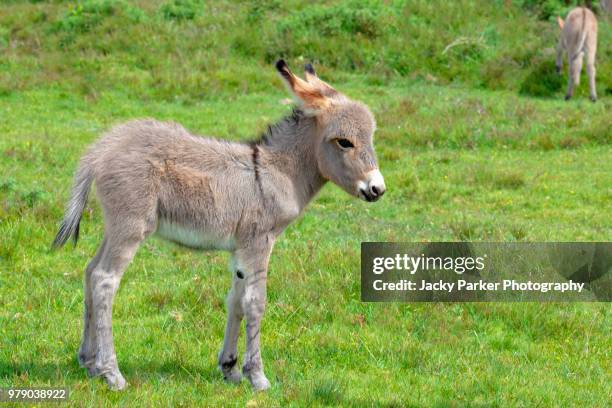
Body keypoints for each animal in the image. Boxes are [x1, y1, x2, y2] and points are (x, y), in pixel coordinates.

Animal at [55, 59, 384, 388]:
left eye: (370, 138)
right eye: (344, 142)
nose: (377, 189)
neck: (276, 171)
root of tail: (102, 149)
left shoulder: (241, 250)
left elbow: (236, 300)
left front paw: (230, 368)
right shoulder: (259, 242)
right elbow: (255, 302)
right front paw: (258, 377)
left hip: (115, 227)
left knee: (90, 271)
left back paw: (89, 362)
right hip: (131, 226)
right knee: (105, 280)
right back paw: (112, 373)